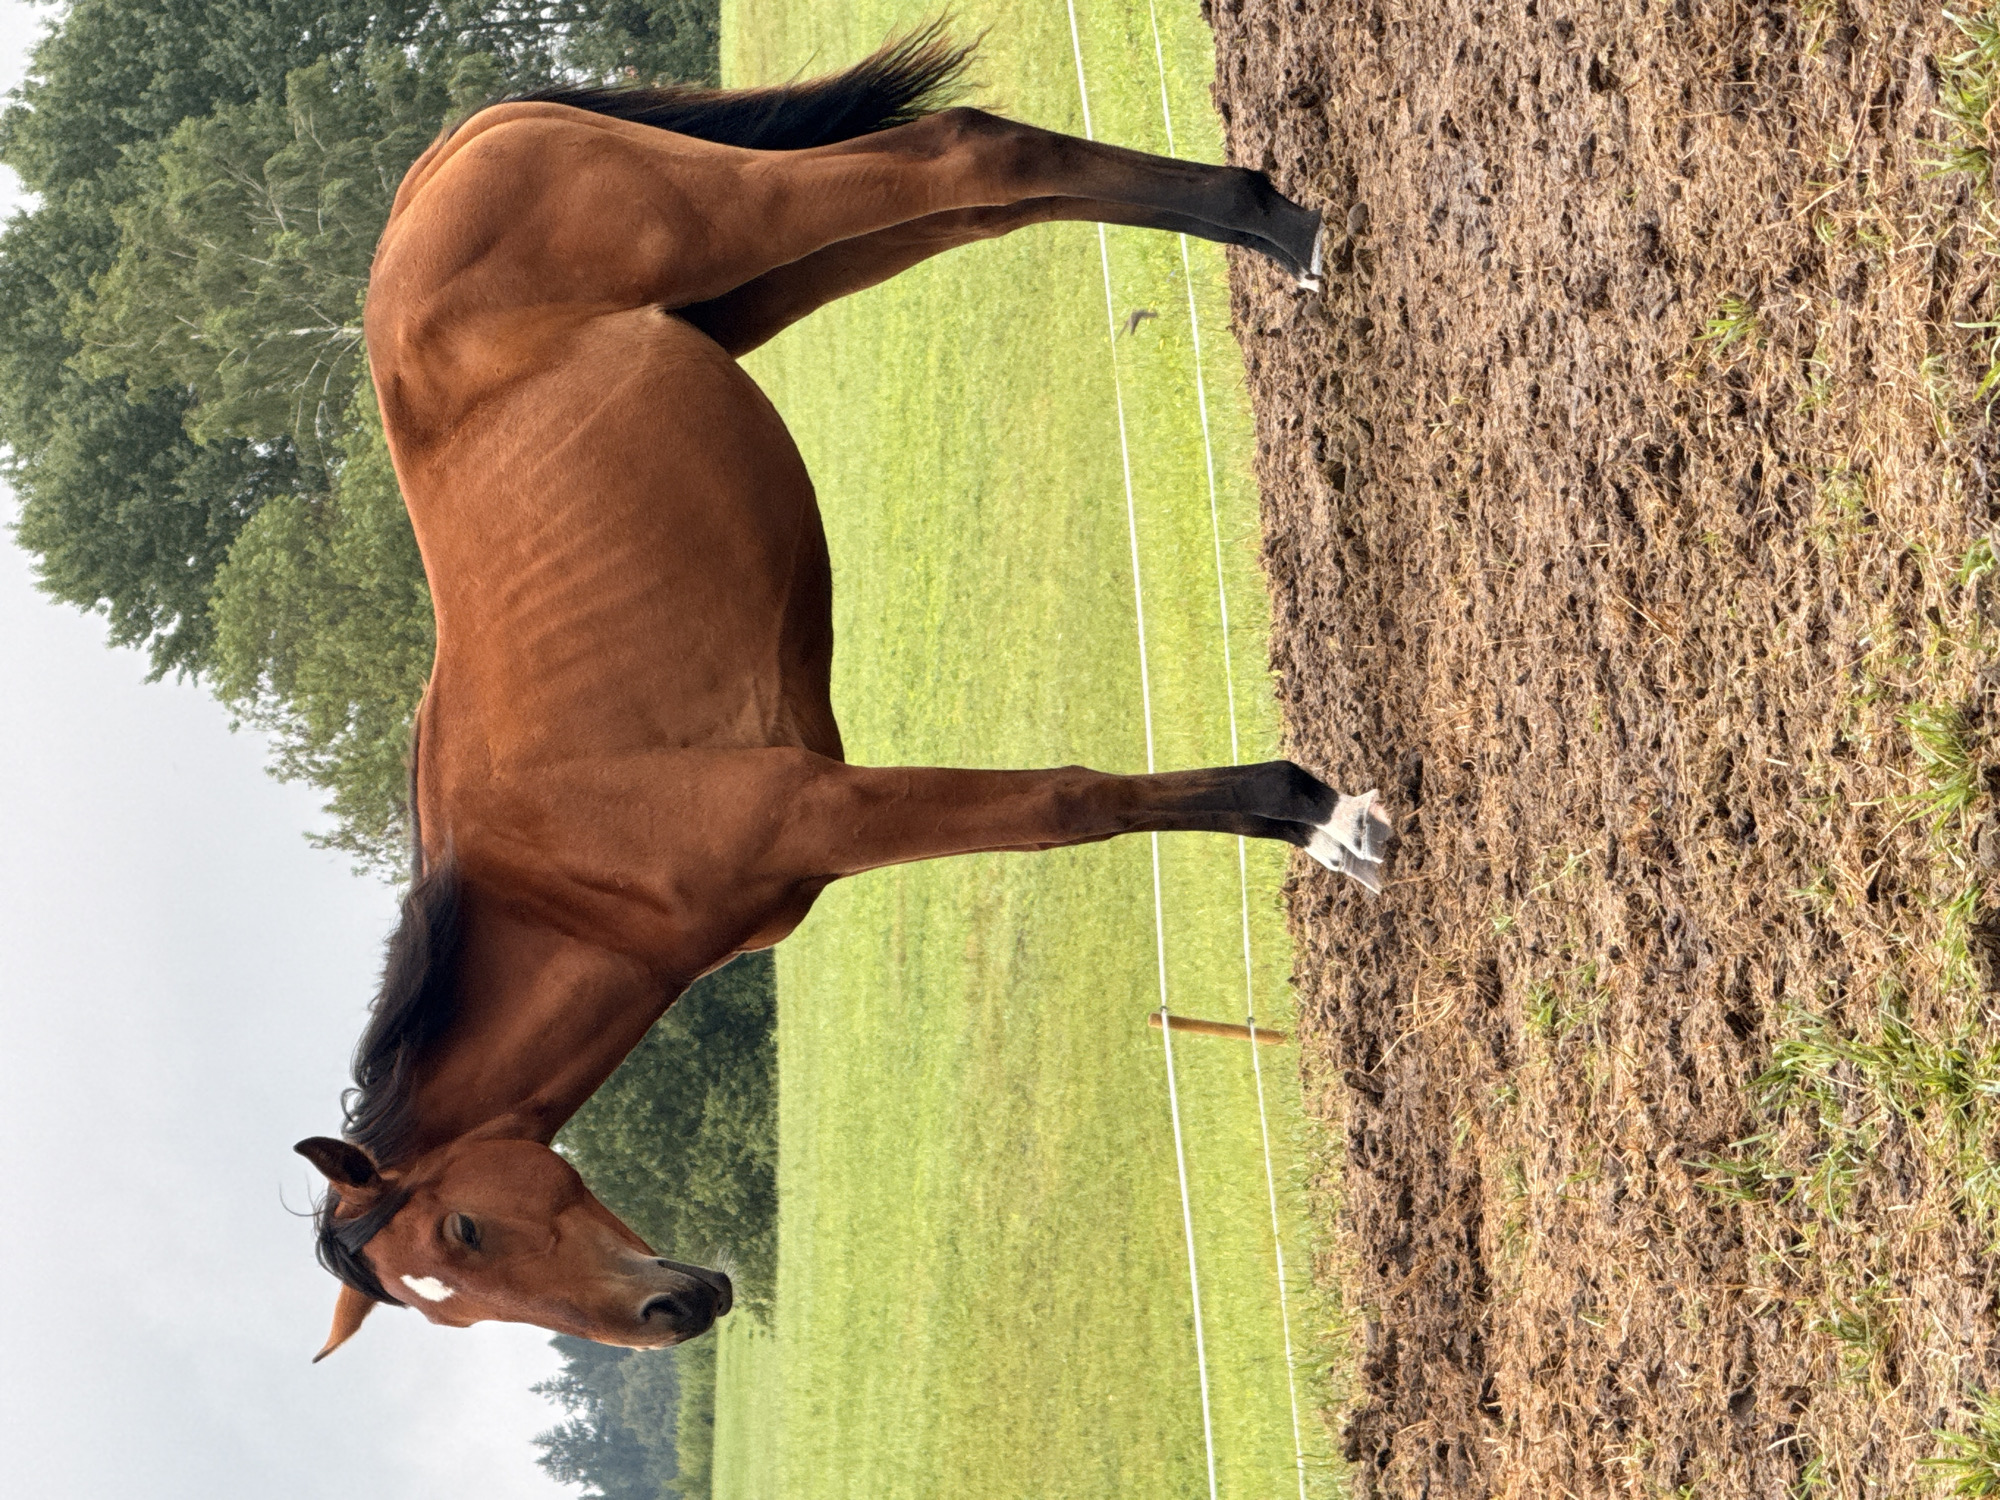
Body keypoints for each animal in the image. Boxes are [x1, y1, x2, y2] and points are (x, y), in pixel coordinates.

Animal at [293, 26, 1389, 1364]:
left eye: (461, 1234)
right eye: (447, 1302)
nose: (671, 1314)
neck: (563, 878)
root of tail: (446, 159)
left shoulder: (832, 809)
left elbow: (1072, 804)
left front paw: (1326, 816)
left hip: (742, 227)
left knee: (967, 155)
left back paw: (1287, 231)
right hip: (773, 282)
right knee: (985, 198)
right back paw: (1273, 228)